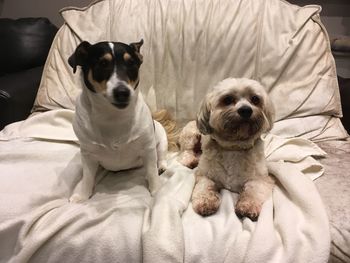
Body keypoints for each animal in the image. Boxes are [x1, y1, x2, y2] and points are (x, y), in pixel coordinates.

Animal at [182, 78, 274, 221]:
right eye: (227, 99)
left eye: (255, 99)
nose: (245, 110)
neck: (233, 148)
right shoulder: (205, 174)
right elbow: (205, 186)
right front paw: (206, 202)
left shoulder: (262, 179)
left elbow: (253, 189)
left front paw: (248, 205)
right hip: (191, 135)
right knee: (187, 150)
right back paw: (190, 160)